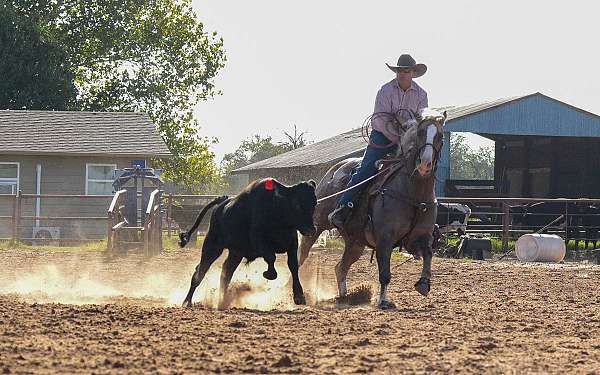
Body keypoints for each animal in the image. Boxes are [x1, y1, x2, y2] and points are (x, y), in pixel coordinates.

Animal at [296, 108, 446, 308]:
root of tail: (332, 172)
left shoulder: (421, 237)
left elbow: (428, 254)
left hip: (355, 243)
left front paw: (423, 284)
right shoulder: (385, 238)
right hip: (317, 225)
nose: (425, 164)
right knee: (302, 255)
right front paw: (383, 300)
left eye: (440, 136)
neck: (413, 192)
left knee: (340, 267)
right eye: (421, 133)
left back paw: (345, 297)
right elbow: (385, 273)